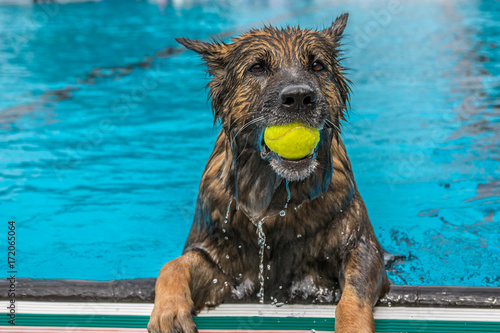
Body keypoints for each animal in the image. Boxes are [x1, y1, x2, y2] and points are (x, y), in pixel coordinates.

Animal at [148, 14, 390, 332]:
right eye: (257, 68)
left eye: (317, 65)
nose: (299, 97)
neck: (275, 198)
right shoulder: (221, 267)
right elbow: (172, 265)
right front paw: (168, 310)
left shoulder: (362, 250)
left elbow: (352, 299)